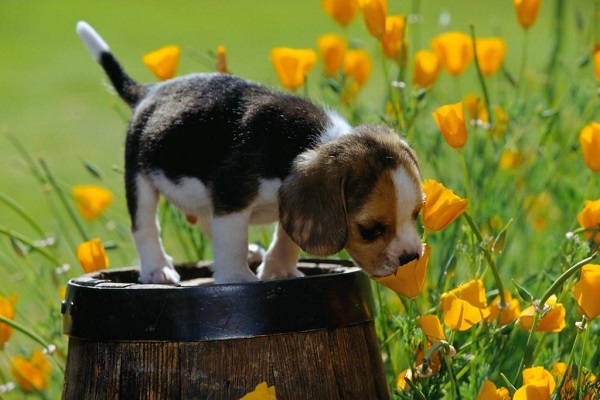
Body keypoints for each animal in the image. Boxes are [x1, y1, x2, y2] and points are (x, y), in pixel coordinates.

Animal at [77, 21, 424, 284]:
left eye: (416, 214)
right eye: (370, 230)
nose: (411, 258)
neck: (310, 141)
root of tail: (149, 92)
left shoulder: (287, 203)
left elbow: (286, 236)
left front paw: (279, 269)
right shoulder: (232, 197)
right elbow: (231, 242)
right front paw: (237, 279)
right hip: (139, 177)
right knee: (145, 226)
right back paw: (157, 269)